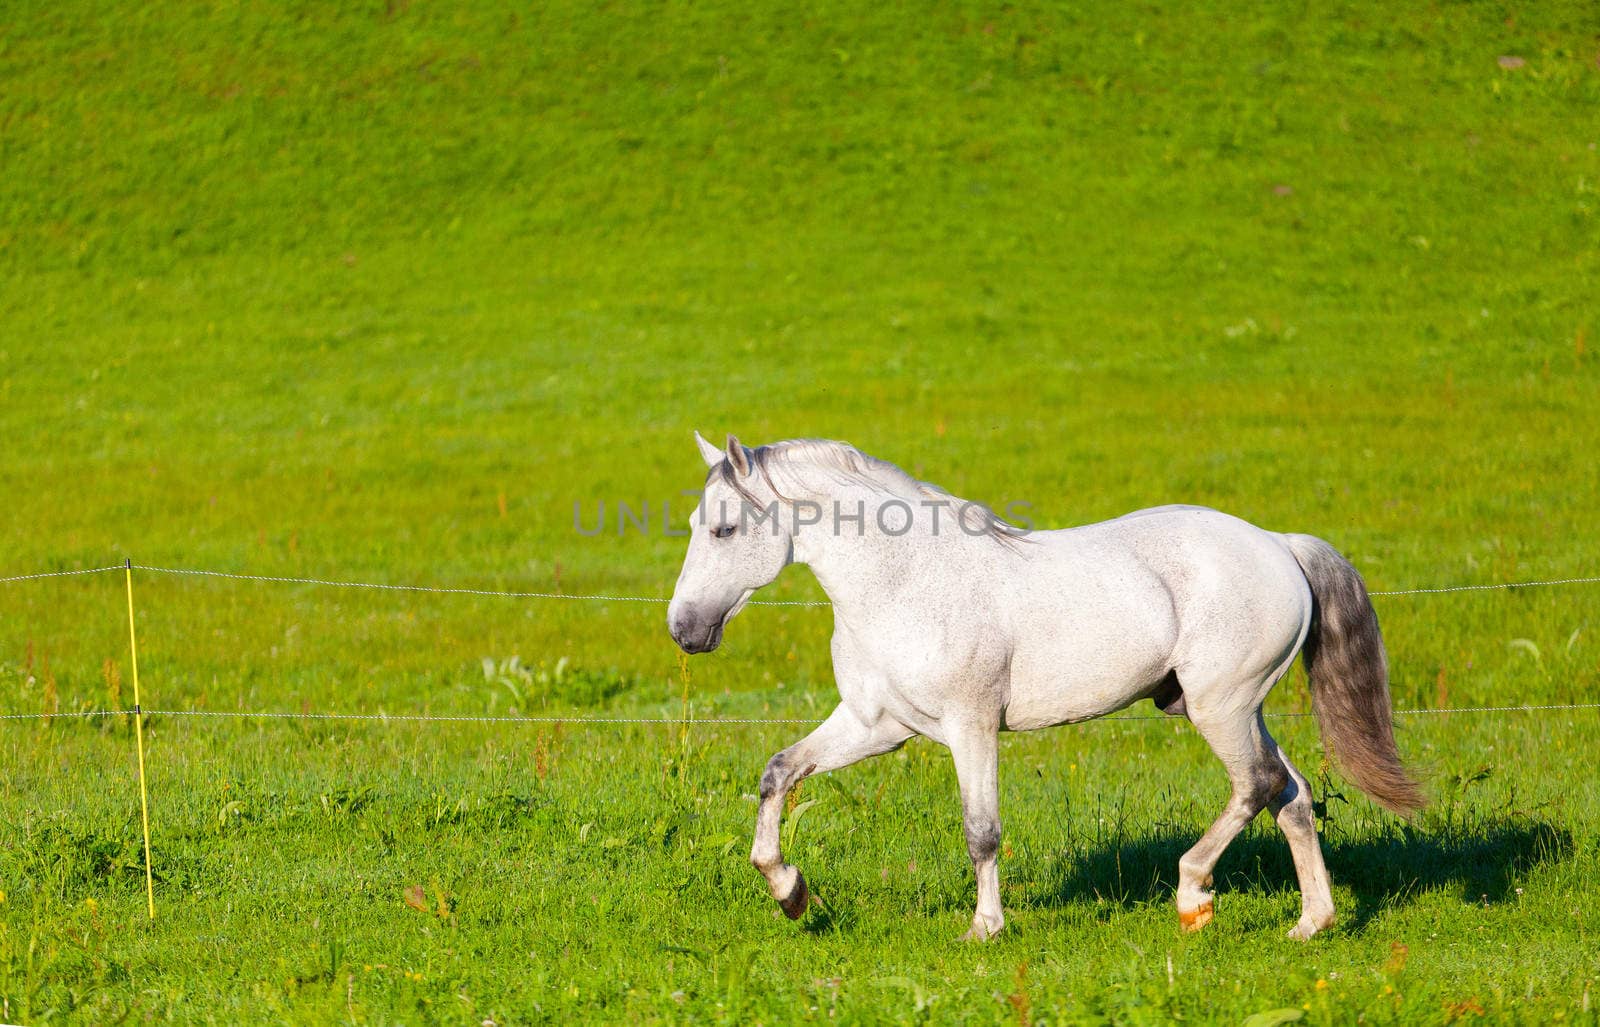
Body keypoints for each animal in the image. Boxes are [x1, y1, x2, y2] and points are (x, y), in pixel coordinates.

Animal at [668, 431, 1420, 934]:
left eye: (725, 528)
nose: (683, 628)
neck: (903, 582)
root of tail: (1280, 544)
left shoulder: (970, 726)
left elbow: (981, 830)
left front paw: (985, 928)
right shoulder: (875, 724)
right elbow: (778, 772)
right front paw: (791, 892)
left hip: (1220, 706)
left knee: (1256, 785)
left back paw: (1192, 897)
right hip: (1236, 707)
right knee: (1291, 794)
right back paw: (1312, 923)